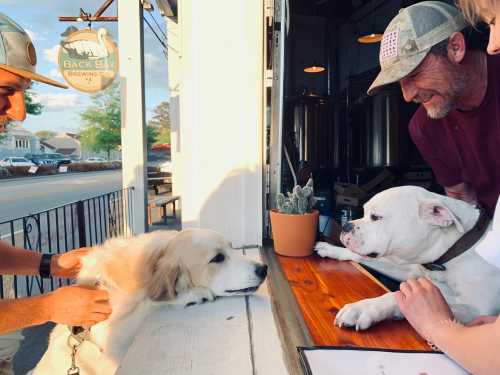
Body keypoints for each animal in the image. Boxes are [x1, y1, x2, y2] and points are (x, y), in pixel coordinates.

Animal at [31, 229, 268, 375]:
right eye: (217, 258)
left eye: (232, 248)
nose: (263, 269)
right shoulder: (111, 339)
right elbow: (151, 303)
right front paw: (191, 294)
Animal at [314, 187, 500, 330]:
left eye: (376, 217)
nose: (346, 226)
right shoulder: (411, 270)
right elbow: (367, 258)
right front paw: (332, 249)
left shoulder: (475, 311)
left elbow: (394, 296)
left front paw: (364, 308)